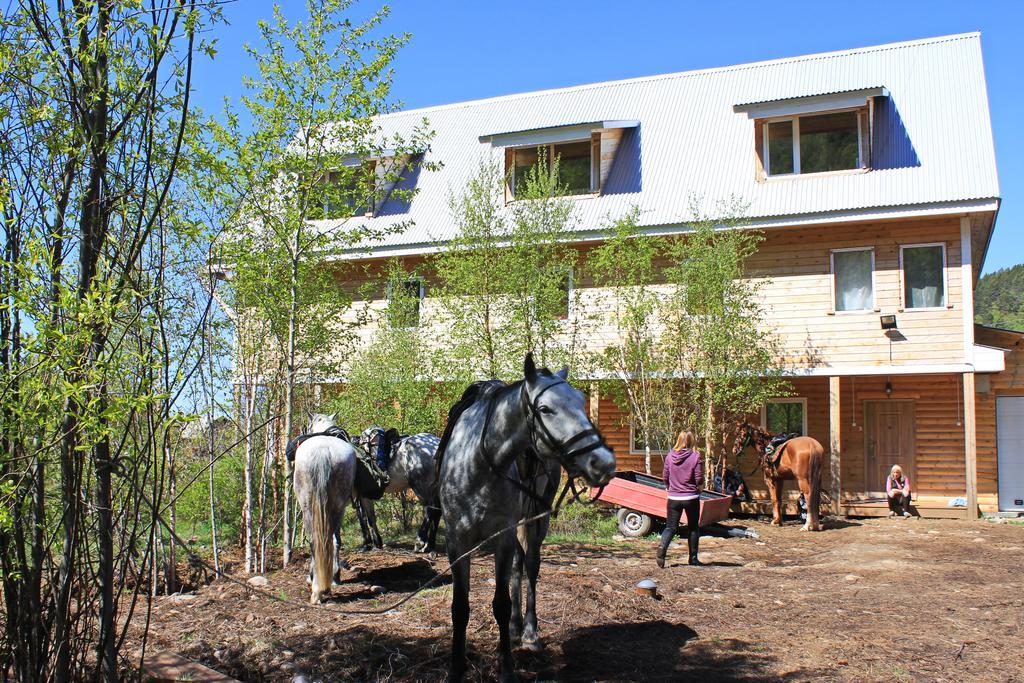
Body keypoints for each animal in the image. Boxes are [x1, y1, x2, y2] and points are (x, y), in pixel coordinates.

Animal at [290, 411, 358, 602]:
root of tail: (323, 449)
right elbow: (337, 541)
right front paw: (335, 577)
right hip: (338, 506)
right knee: (332, 541)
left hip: (308, 507)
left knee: (315, 542)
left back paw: (316, 588)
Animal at [434, 356, 614, 679]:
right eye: (545, 409)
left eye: (582, 402)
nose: (602, 462)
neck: (479, 462)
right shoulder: (457, 542)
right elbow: (460, 607)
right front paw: (456, 668)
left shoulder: (503, 537)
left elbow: (501, 604)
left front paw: (506, 667)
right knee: (518, 568)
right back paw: (516, 627)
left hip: (535, 522)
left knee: (529, 567)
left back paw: (529, 631)